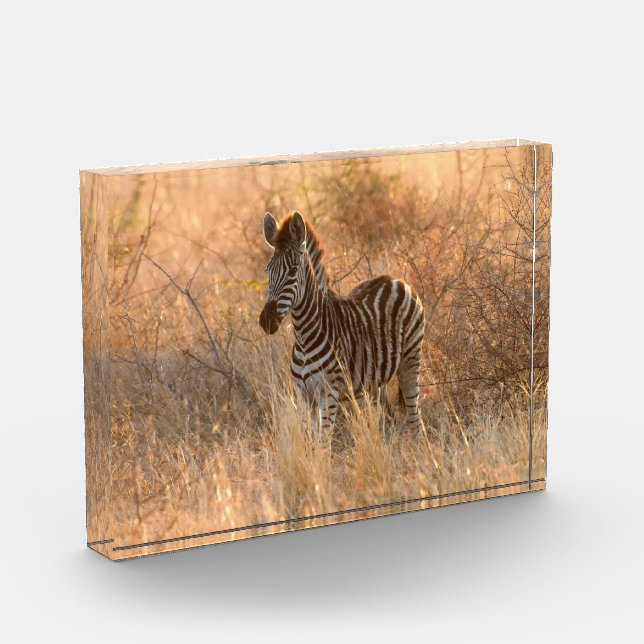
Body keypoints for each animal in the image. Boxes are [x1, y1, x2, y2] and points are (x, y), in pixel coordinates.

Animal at [259, 211, 426, 436]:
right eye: (268, 270)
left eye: (293, 271)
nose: (266, 321)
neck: (304, 336)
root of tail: (396, 280)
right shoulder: (305, 396)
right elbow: (313, 440)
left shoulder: (329, 395)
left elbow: (323, 442)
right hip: (375, 380)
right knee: (387, 417)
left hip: (410, 361)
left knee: (415, 419)